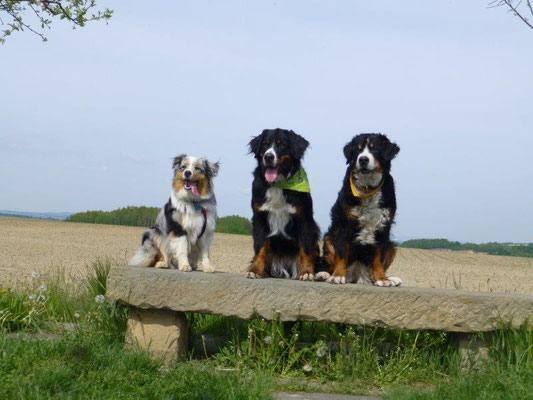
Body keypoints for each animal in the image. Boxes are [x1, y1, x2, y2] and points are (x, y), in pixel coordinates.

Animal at [316, 134, 400, 288]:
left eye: (375, 149)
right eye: (358, 150)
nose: (363, 159)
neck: (368, 188)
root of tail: (357, 274)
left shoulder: (384, 226)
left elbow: (379, 258)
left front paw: (382, 279)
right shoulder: (345, 224)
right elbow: (341, 253)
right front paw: (337, 276)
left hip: (392, 246)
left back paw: (390, 279)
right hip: (328, 239)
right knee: (328, 264)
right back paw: (324, 274)